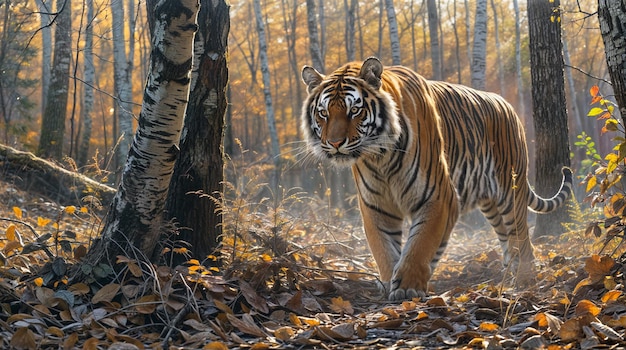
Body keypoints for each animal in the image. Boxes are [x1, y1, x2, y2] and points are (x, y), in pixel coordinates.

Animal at [298, 57, 572, 300]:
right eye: (323, 113)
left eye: (354, 110)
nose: (334, 143)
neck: (380, 157)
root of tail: (508, 105)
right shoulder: (375, 206)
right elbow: (383, 249)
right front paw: (390, 281)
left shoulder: (440, 197)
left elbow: (420, 243)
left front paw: (408, 286)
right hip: (490, 203)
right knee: (507, 240)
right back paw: (509, 275)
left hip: (509, 192)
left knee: (522, 238)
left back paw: (525, 278)